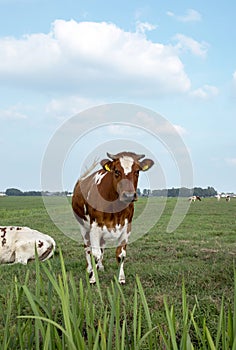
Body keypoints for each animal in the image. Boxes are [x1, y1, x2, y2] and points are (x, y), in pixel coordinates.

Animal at [71, 150, 155, 284]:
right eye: (116, 171)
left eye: (137, 171)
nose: (129, 195)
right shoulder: (95, 227)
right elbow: (95, 254)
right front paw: (93, 278)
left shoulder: (126, 227)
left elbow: (120, 255)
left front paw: (121, 278)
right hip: (83, 227)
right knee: (87, 248)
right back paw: (89, 269)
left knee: (102, 247)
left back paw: (100, 266)